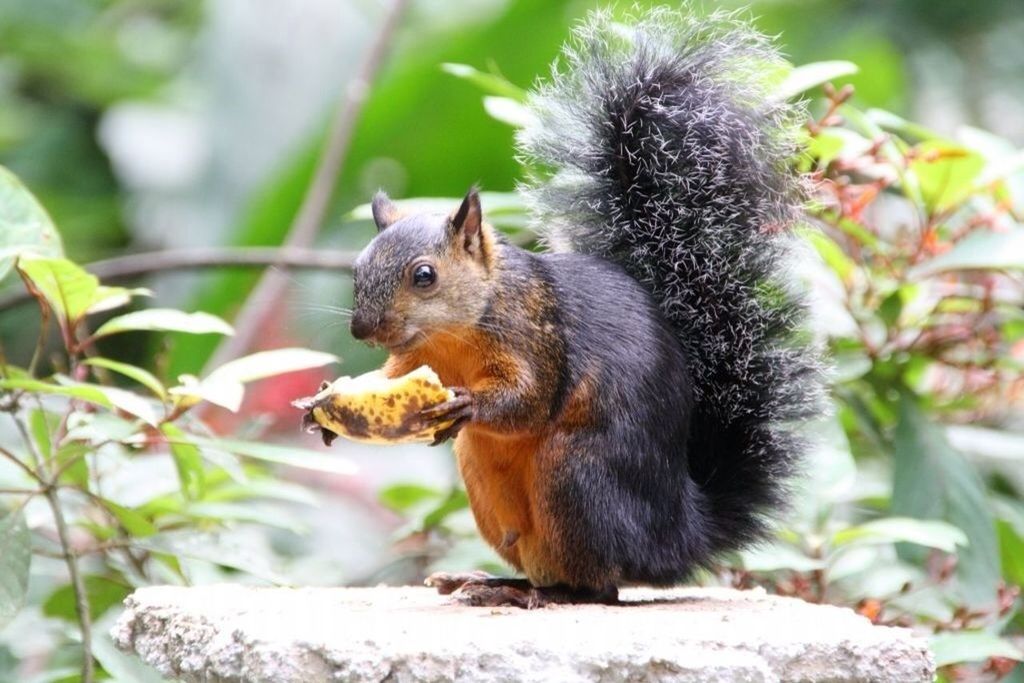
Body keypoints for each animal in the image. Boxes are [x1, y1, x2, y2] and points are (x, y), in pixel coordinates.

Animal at [348, 7, 819, 610]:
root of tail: (677, 535)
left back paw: (543, 595)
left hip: (574, 475)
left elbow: (529, 400)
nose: (363, 329)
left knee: (602, 587)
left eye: (424, 276)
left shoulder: (538, 336)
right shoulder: (410, 363)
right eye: (358, 268)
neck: (454, 337)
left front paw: (468, 403)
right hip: (490, 484)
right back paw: (496, 583)